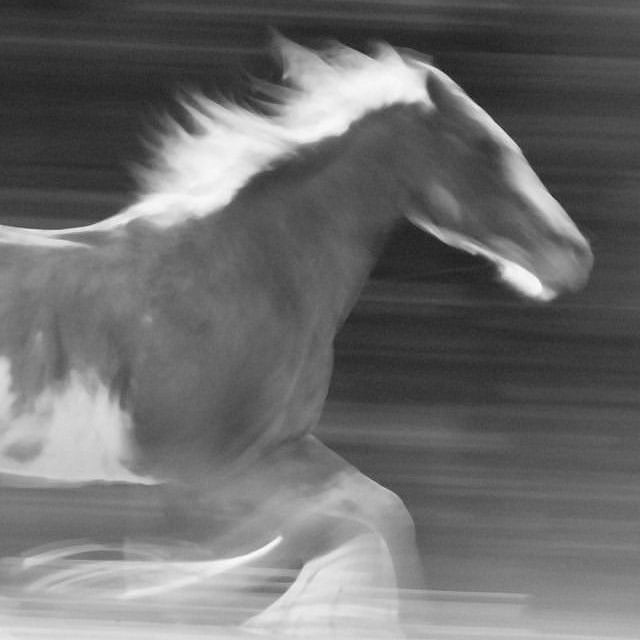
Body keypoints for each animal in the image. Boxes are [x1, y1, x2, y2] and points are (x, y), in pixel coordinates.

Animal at [0, 35, 591, 638]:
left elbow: (378, 513)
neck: (247, 273)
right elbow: (316, 530)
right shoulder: (208, 470)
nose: (574, 256)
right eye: (483, 145)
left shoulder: (285, 447)